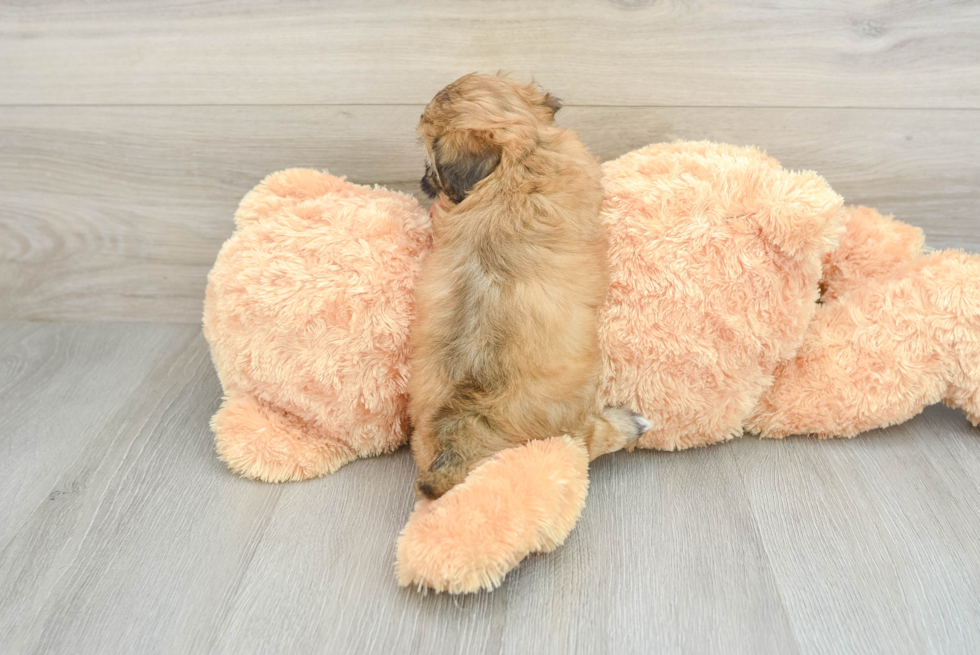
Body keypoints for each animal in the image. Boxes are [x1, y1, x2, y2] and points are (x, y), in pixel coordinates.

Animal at [408, 74, 652, 500]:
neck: (519, 155)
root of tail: (460, 429)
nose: (423, 182)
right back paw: (630, 423)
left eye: (430, 164)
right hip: (567, 424)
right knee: (589, 439)